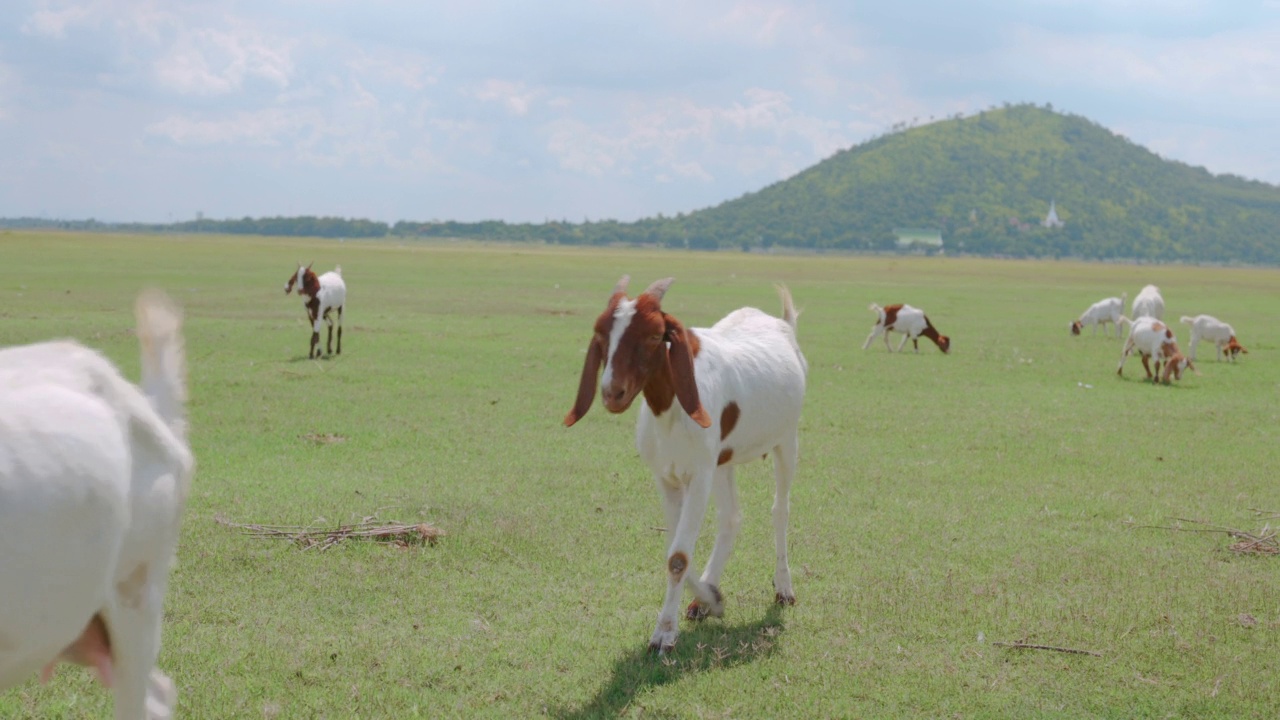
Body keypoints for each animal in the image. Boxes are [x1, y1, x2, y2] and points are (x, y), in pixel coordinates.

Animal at [565, 275, 803, 655]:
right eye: (602, 334)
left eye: (653, 335)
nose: (612, 393)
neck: (672, 411)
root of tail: (782, 326)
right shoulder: (668, 477)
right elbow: (674, 549)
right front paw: (710, 599)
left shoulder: (699, 476)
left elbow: (678, 556)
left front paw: (663, 633)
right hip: (723, 460)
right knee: (732, 517)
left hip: (786, 441)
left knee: (780, 509)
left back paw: (783, 589)